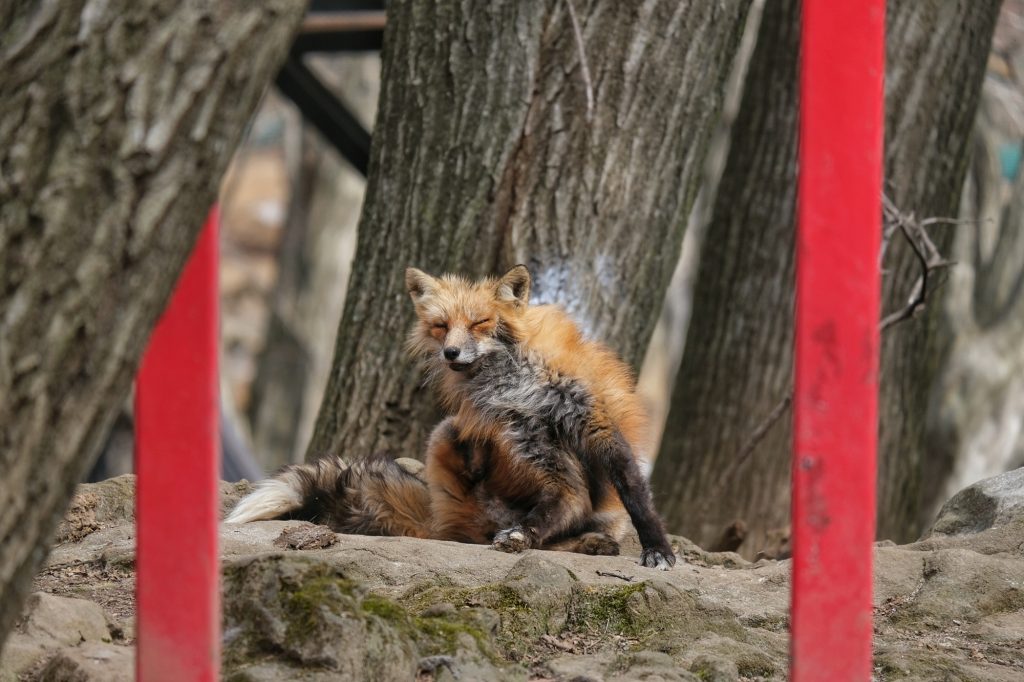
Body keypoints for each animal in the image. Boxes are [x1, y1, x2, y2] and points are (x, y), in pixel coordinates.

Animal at [227, 265, 676, 569]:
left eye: (480, 323)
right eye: (441, 326)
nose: (451, 354)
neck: (518, 382)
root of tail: (441, 517)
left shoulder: (591, 421)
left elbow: (634, 493)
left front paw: (658, 549)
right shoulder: (528, 436)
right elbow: (563, 502)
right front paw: (525, 530)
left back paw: (581, 541)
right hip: (447, 433)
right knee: (500, 530)